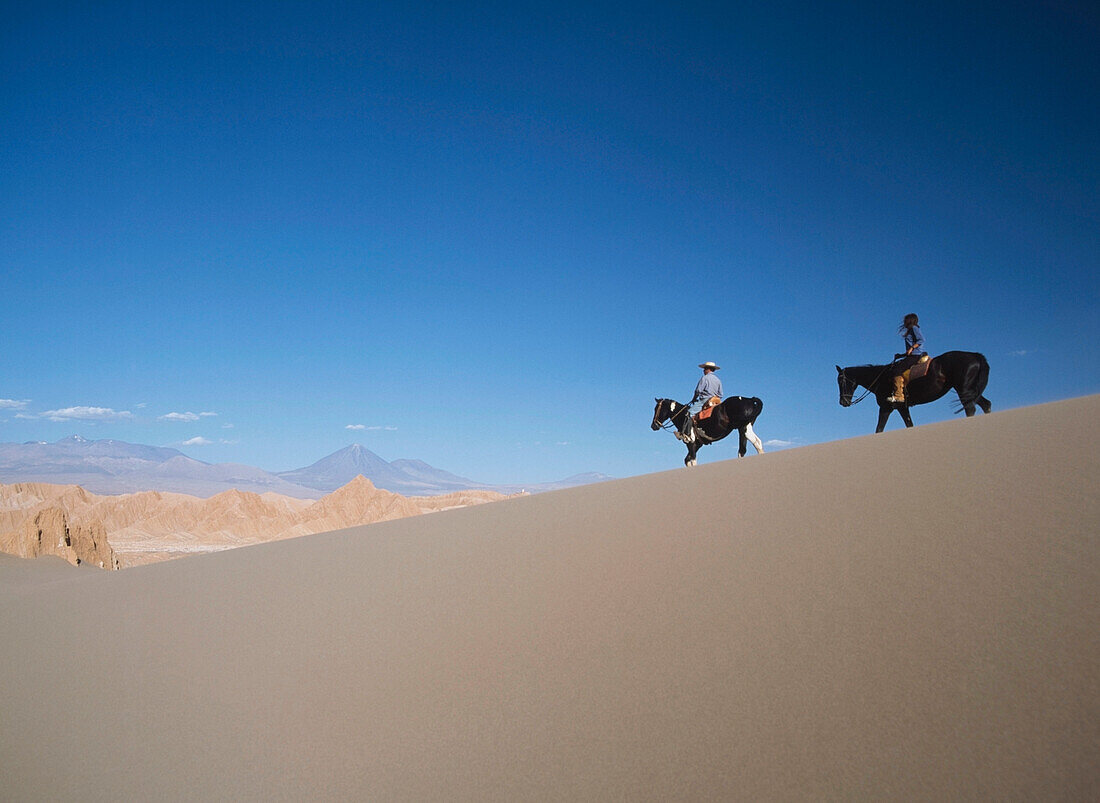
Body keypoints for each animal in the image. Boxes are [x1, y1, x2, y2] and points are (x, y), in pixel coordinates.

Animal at [836, 347, 994, 429]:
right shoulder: (902, 407)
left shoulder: (886, 408)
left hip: (964, 390)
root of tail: (976, 356)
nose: (843, 402)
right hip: (971, 390)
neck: (881, 377)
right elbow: (909, 424)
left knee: (970, 409)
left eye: (841, 381)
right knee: (986, 404)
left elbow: (879, 429)